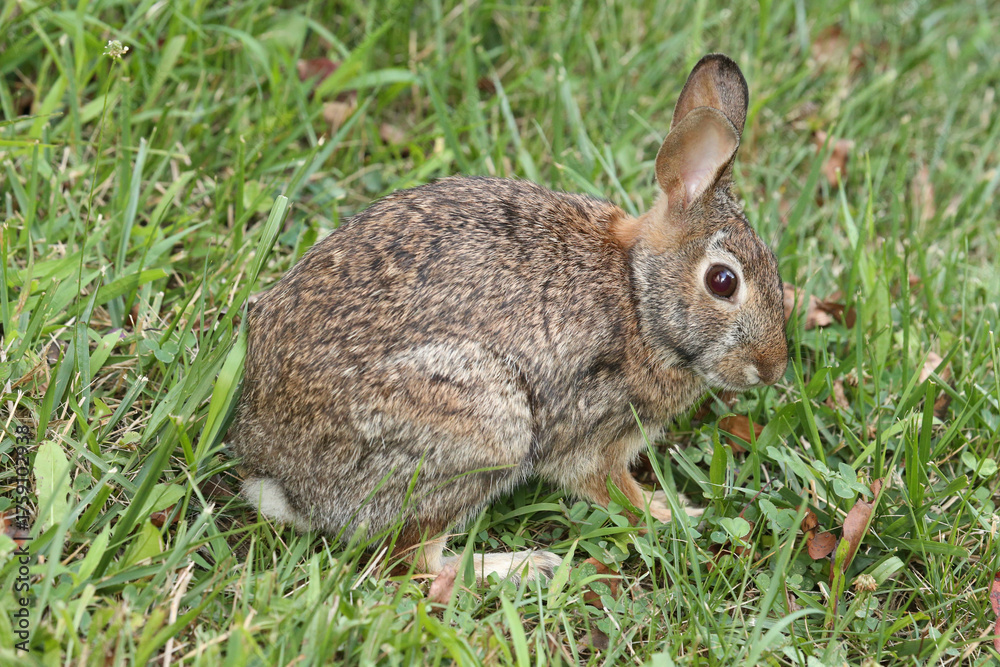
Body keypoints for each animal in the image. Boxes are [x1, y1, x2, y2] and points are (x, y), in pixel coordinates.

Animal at [226, 53, 788, 583]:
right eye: (723, 281)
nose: (772, 368)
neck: (636, 295)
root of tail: (280, 478)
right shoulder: (593, 434)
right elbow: (609, 487)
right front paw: (675, 514)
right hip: (486, 427)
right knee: (415, 561)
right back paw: (521, 567)